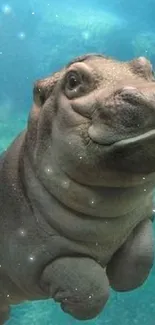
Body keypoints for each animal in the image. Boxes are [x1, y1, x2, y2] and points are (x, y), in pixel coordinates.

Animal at [0, 53, 155, 322]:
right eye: (72, 81)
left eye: (145, 66)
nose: (148, 95)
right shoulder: (30, 259)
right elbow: (89, 284)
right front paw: (74, 306)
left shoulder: (139, 217)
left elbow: (142, 251)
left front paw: (123, 280)